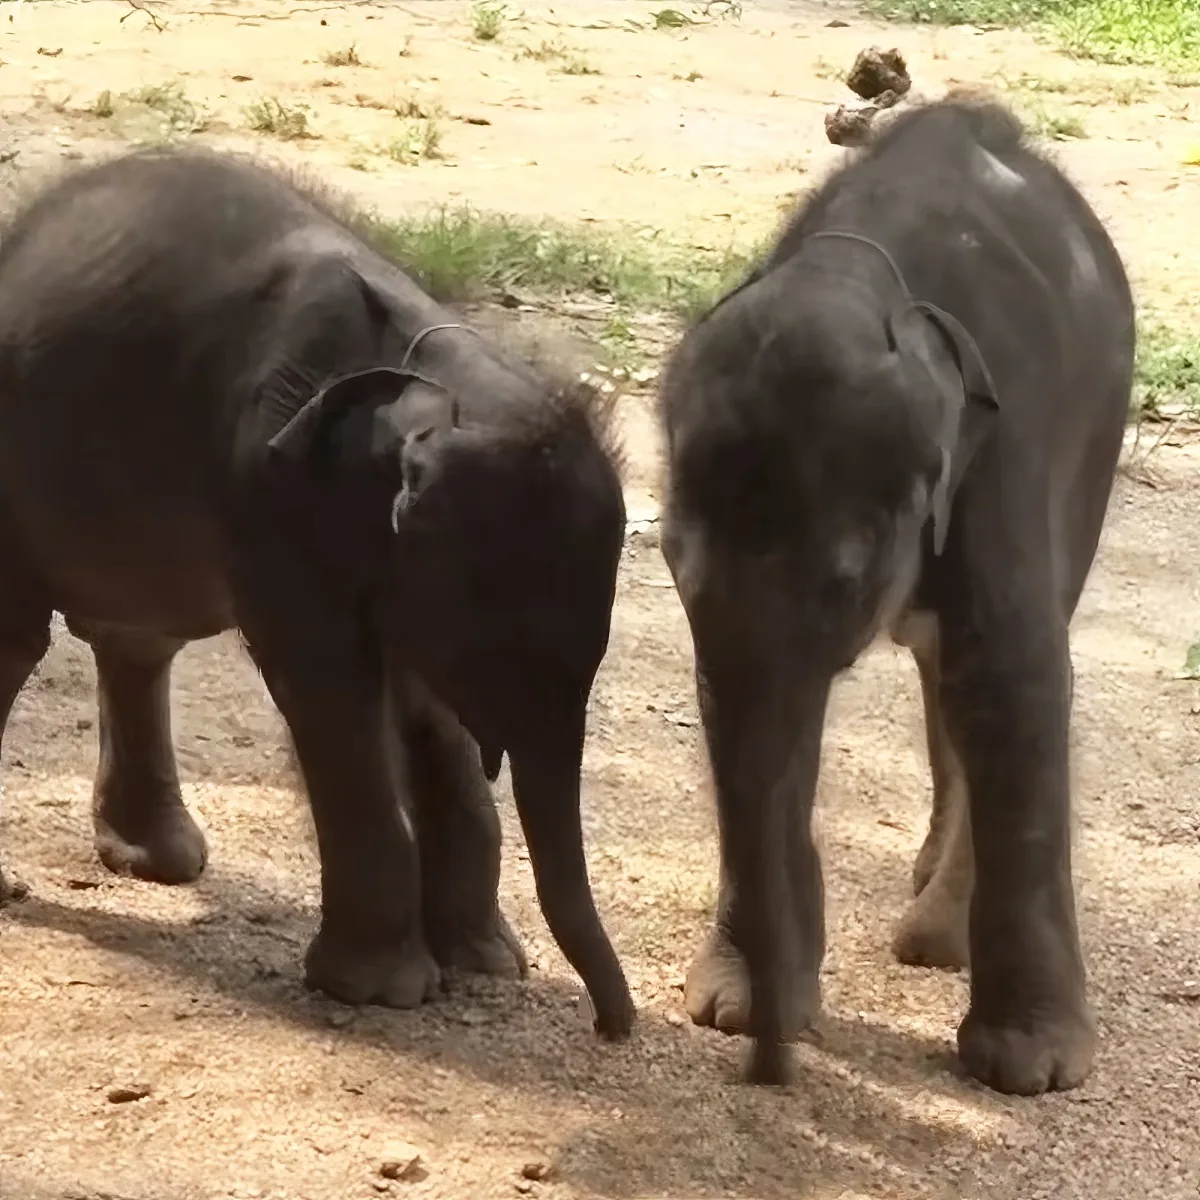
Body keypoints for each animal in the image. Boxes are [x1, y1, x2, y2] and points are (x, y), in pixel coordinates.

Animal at [0, 146, 635, 1039]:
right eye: (502, 650)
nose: (613, 1027)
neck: (432, 384)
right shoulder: (273, 491)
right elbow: (335, 694)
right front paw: (381, 991)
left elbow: (420, 705)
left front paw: (486, 966)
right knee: (21, 636)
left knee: (140, 637)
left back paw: (163, 865)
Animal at [657, 99, 1133, 1095]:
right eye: (676, 567)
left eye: (843, 584)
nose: (768, 1066)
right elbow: (755, 713)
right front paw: (739, 1006)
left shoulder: (1008, 454)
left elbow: (1012, 680)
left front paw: (1029, 1069)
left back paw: (935, 938)